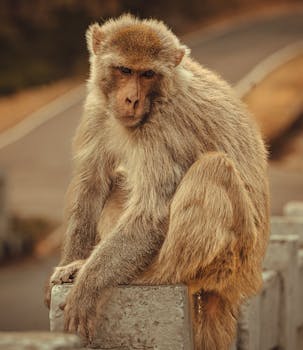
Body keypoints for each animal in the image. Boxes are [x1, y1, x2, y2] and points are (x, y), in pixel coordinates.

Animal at [45, 14, 270, 350]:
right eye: (125, 70)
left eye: (148, 74)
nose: (132, 99)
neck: (160, 97)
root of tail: (247, 279)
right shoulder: (98, 109)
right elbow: (91, 184)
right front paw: (72, 262)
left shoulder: (164, 128)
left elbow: (151, 215)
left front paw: (88, 284)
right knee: (119, 182)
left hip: (233, 259)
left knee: (213, 168)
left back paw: (150, 274)